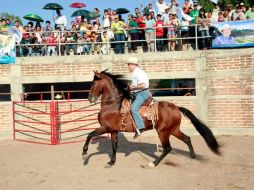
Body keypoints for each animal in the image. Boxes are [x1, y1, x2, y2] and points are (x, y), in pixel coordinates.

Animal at [82, 70, 219, 167]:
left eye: (93, 83)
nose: (89, 98)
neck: (113, 105)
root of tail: (176, 107)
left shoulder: (105, 127)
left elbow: (89, 135)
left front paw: (84, 154)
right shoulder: (113, 130)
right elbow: (114, 146)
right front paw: (111, 162)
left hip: (163, 132)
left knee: (167, 148)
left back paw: (153, 163)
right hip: (173, 130)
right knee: (187, 139)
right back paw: (193, 156)